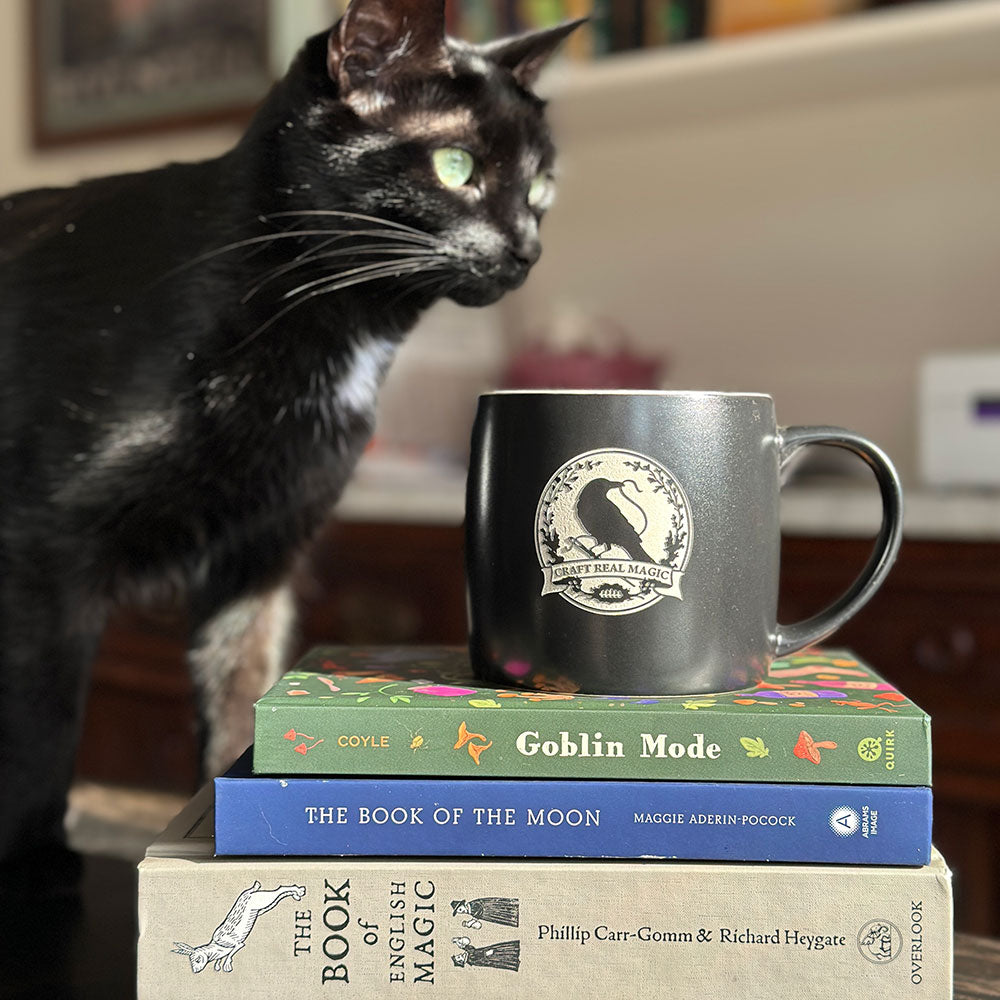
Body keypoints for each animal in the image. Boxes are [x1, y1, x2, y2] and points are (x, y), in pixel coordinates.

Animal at [0, 0, 584, 864]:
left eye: (543, 185)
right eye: (455, 166)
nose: (528, 247)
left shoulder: (261, 554)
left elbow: (239, 703)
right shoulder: (45, 560)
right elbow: (41, 740)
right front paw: (39, 867)